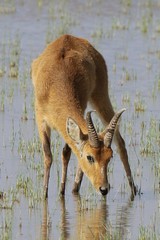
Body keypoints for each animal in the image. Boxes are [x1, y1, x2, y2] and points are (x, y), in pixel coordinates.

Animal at [31, 33, 136, 199]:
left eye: (109, 157)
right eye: (89, 157)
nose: (104, 189)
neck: (56, 83)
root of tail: (69, 36)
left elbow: (66, 152)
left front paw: (62, 190)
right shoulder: (41, 119)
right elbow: (49, 155)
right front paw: (46, 193)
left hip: (100, 97)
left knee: (120, 142)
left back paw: (133, 189)